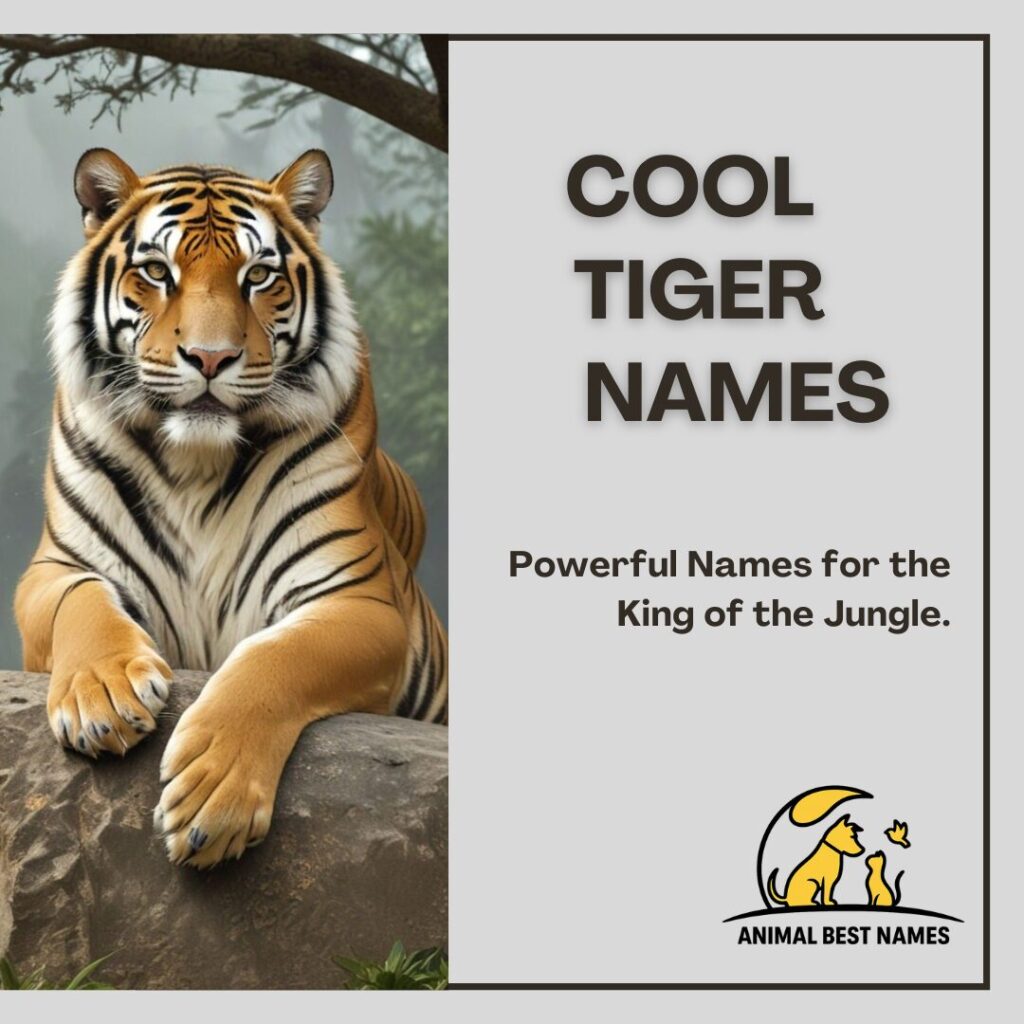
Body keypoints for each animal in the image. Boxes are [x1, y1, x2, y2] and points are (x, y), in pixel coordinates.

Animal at [14, 147, 447, 869]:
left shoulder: (357, 600)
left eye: (259, 276)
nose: (211, 358)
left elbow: (277, 656)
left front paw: (212, 797)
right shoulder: (53, 568)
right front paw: (103, 695)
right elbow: (81, 600)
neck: (196, 462)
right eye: (157, 272)